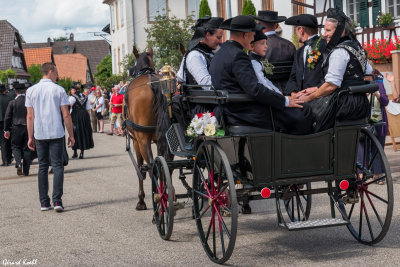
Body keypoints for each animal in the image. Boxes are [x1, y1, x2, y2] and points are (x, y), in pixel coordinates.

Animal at [123, 46, 170, 211]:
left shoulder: (137, 140)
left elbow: (139, 167)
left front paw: (141, 200)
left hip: (143, 139)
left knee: (151, 169)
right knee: (165, 167)